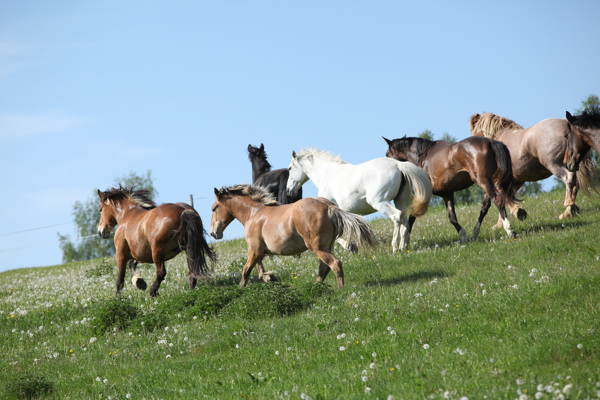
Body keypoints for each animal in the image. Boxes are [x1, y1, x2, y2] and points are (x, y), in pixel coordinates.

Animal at [209, 183, 372, 290]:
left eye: (214, 208)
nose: (213, 233)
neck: (253, 214)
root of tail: (329, 206)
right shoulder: (259, 251)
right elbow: (259, 271)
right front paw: (270, 277)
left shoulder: (254, 250)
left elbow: (246, 270)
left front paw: (240, 289)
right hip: (327, 246)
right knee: (324, 268)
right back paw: (316, 287)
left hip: (317, 246)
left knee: (335, 264)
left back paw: (340, 290)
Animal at [286, 147, 432, 253]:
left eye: (289, 168)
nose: (288, 190)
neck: (327, 175)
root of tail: (398, 164)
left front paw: (350, 246)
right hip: (400, 201)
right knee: (405, 223)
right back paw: (403, 247)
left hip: (380, 202)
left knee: (396, 216)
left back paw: (395, 248)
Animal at [384, 135, 520, 241]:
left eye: (387, 154)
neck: (423, 157)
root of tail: (491, 142)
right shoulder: (447, 194)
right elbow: (452, 218)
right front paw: (463, 236)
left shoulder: (425, 195)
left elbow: (413, 215)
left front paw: (405, 239)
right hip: (489, 182)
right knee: (485, 207)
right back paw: (474, 234)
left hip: (483, 181)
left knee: (498, 201)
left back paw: (509, 230)